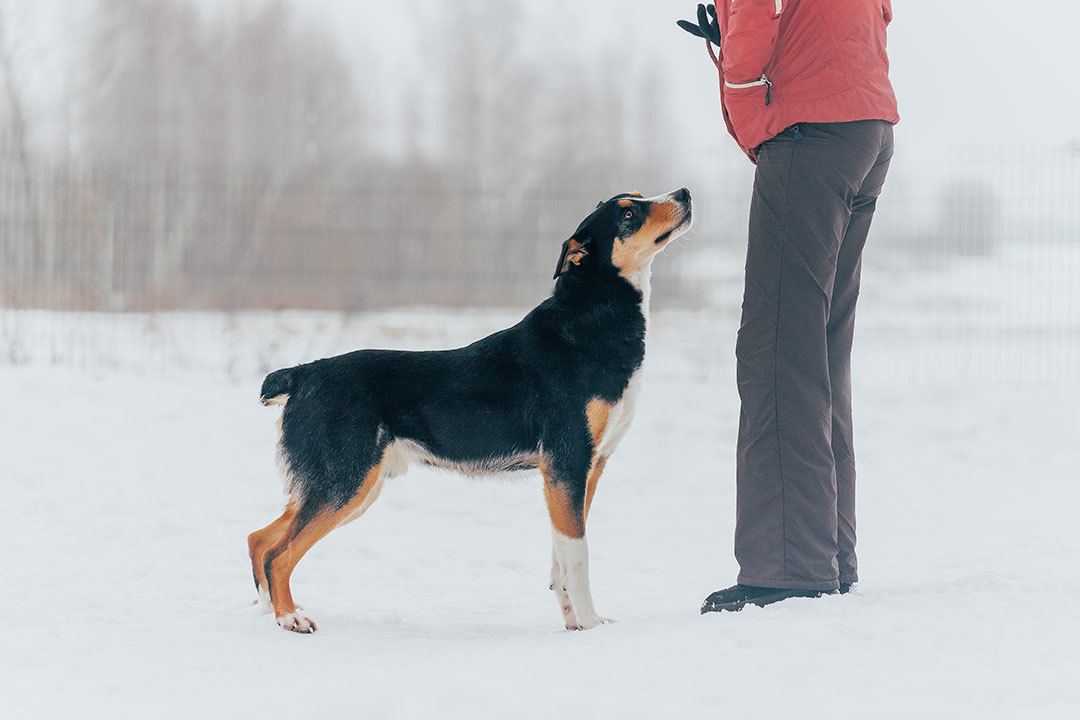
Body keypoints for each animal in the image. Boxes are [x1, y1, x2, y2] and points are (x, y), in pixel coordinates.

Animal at [247, 185, 691, 630]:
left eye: (636, 197)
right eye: (629, 213)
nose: (684, 193)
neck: (590, 321)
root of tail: (303, 374)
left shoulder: (583, 470)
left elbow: (560, 560)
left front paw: (573, 622)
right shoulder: (567, 463)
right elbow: (578, 558)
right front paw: (591, 625)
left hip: (347, 486)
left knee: (261, 539)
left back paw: (272, 612)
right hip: (344, 482)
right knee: (279, 553)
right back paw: (290, 619)